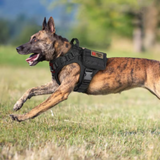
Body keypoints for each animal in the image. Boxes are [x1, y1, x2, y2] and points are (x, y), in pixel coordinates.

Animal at [10, 16, 160, 121]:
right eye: (31, 38)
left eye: (35, 39)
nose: (17, 48)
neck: (63, 55)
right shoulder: (56, 86)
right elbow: (31, 89)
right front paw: (18, 103)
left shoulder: (60, 92)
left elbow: (38, 107)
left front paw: (22, 117)